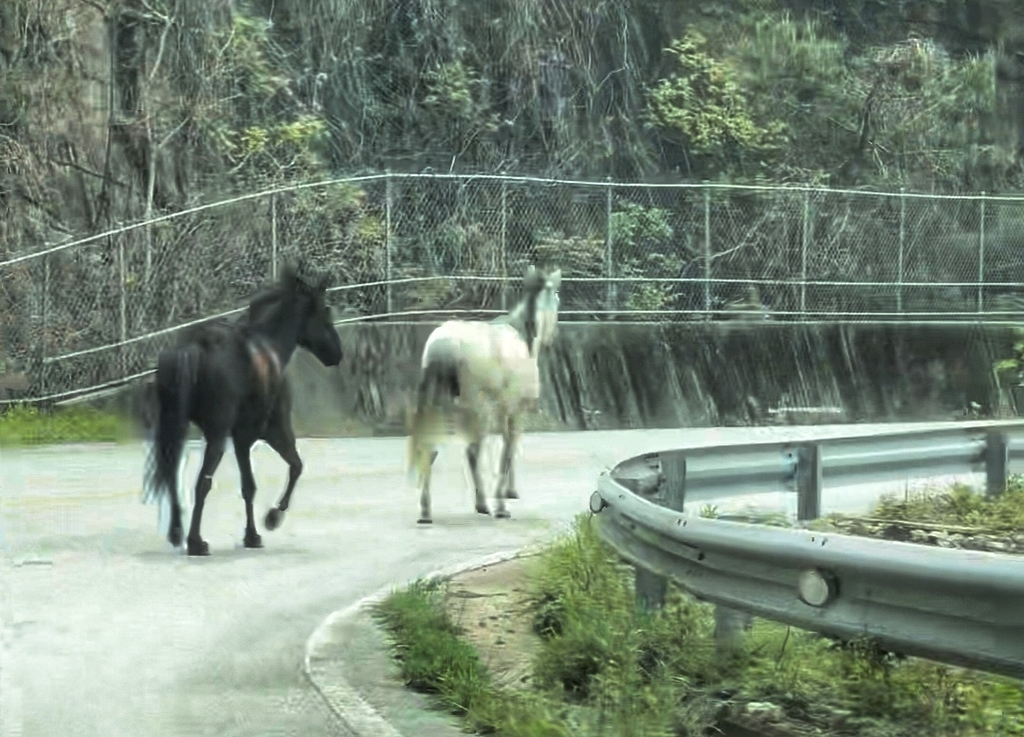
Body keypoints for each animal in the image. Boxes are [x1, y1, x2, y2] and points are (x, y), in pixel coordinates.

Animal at [142, 262, 342, 556]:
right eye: (325, 311)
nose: (337, 353)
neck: (275, 345)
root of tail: (191, 350)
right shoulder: (269, 429)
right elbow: (292, 468)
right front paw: (270, 519)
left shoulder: (241, 436)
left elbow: (248, 485)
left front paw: (252, 534)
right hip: (217, 432)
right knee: (202, 482)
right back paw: (196, 541)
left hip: (175, 424)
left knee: (171, 475)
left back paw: (177, 532)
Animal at [407, 266, 565, 524]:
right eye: (557, 298)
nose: (552, 339)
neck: (523, 335)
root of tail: (443, 347)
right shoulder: (516, 410)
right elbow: (508, 452)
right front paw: (502, 503)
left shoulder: (504, 410)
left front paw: (509, 493)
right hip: (477, 409)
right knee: (472, 451)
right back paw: (482, 503)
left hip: (439, 405)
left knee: (429, 448)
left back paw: (425, 510)